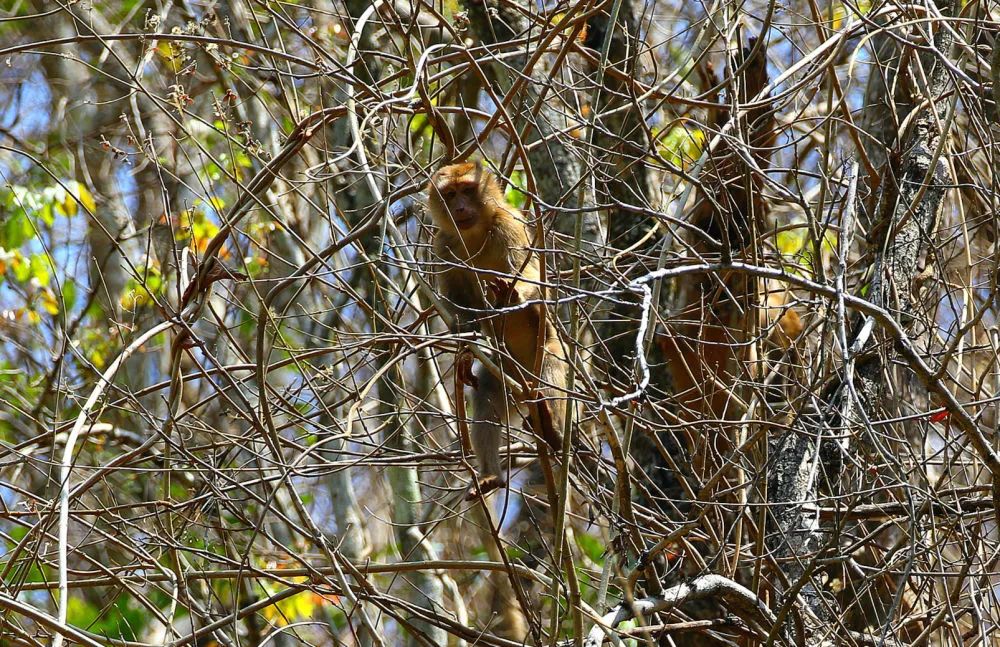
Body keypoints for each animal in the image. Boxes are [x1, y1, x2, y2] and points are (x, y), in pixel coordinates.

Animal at [428, 163, 568, 496]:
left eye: (468, 190)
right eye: (450, 194)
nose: (460, 207)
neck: (475, 234)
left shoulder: (509, 225)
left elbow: (530, 275)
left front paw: (512, 296)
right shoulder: (442, 244)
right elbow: (457, 305)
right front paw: (464, 349)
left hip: (546, 359)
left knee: (550, 371)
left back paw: (552, 429)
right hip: (505, 375)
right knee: (487, 400)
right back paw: (492, 473)